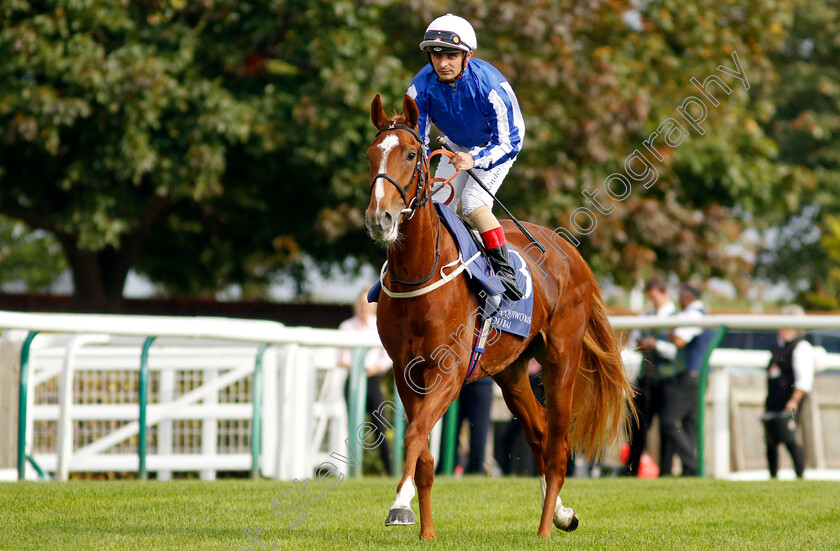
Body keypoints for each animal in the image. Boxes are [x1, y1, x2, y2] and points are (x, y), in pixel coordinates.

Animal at [364, 94, 632, 540]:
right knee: (538, 434)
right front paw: (426, 531)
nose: (379, 218)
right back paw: (561, 514)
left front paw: (399, 506)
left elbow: (416, 433)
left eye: (410, 154)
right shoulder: (406, 371)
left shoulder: (449, 372)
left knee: (557, 446)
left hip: (561, 360)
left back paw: (545, 529)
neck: (419, 272)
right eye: (370, 156)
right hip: (512, 370)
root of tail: (569, 253)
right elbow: (423, 455)